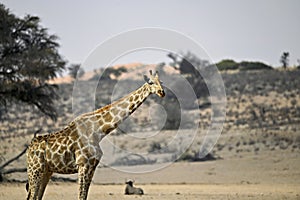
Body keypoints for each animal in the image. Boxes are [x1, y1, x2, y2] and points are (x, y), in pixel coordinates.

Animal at [25, 70, 165, 200]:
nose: (162, 92)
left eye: (161, 82)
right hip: (35, 170)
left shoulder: (92, 166)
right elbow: (81, 195)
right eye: (151, 82)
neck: (98, 131)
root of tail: (29, 148)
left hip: (46, 171)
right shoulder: (83, 165)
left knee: (36, 196)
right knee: (32, 196)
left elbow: (84, 195)